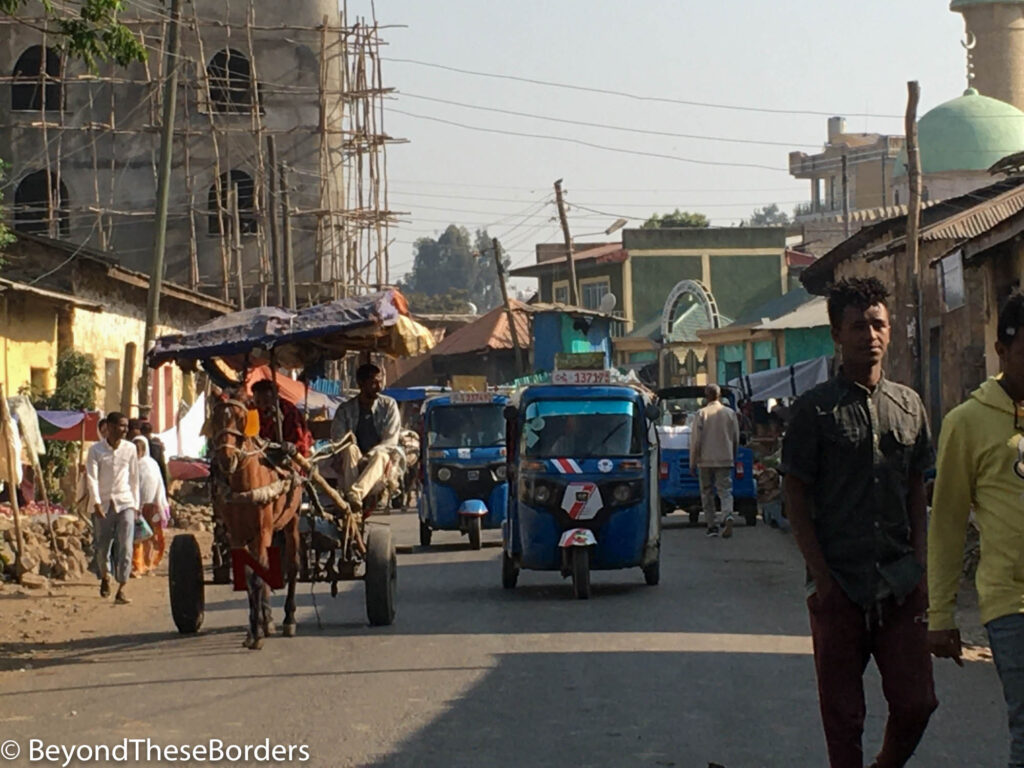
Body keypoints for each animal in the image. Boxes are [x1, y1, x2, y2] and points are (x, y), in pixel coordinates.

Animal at [208, 399, 301, 651]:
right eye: (214, 418)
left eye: (242, 419)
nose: (226, 459)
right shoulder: (237, 536)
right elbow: (249, 578)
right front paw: (254, 630)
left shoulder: (262, 532)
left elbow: (259, 577)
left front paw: (258, 633)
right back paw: (266, 620)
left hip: (291, 522)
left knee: (292, 566)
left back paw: (288, 619)